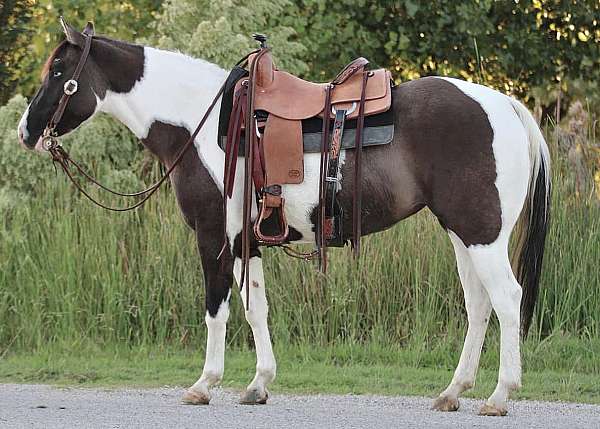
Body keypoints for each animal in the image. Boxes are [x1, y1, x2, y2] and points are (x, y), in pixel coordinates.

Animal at [17, 20, 552, 414]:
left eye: (58, 69)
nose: (25, 131)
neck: (201, 122)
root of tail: (504, 103)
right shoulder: (246, 242)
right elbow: (256, 308)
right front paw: (258, 384)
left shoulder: (213, 235)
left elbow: (217, 310)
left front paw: (204, 384)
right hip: (463, 235)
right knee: (479, 305)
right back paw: (452, 392)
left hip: (481, 235)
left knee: (507, 300)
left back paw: (499, 396)